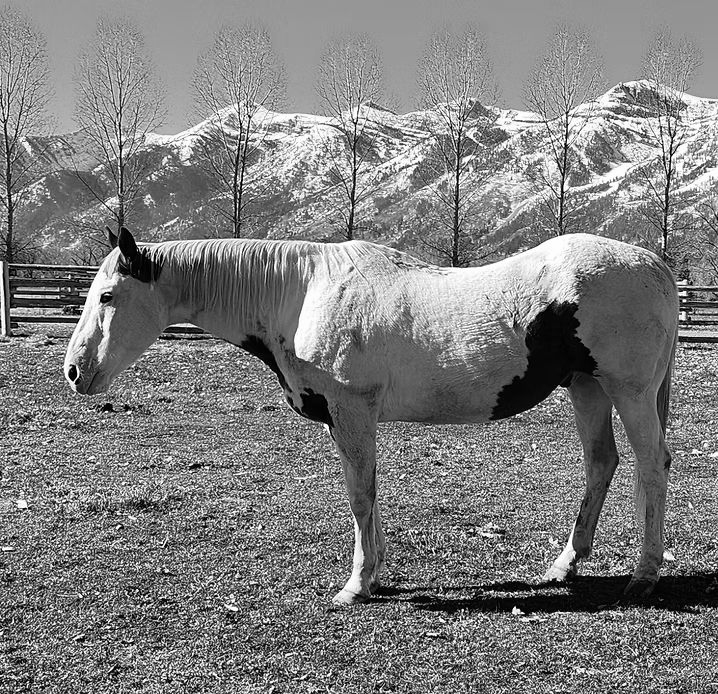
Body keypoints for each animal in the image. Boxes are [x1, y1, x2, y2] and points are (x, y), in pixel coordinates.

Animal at [64, 227, 678, 605]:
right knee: (601, 464)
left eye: (108, 296)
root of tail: (654, 264)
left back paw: (644, 576)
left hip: (628, 391)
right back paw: (565, 565)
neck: (302, 292)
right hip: (587, 387)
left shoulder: (352, 410)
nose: (73, 372)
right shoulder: (347, 419)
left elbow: (360, 493)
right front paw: (375, 572)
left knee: (652, 465)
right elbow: (368, 493)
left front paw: (357, 586)